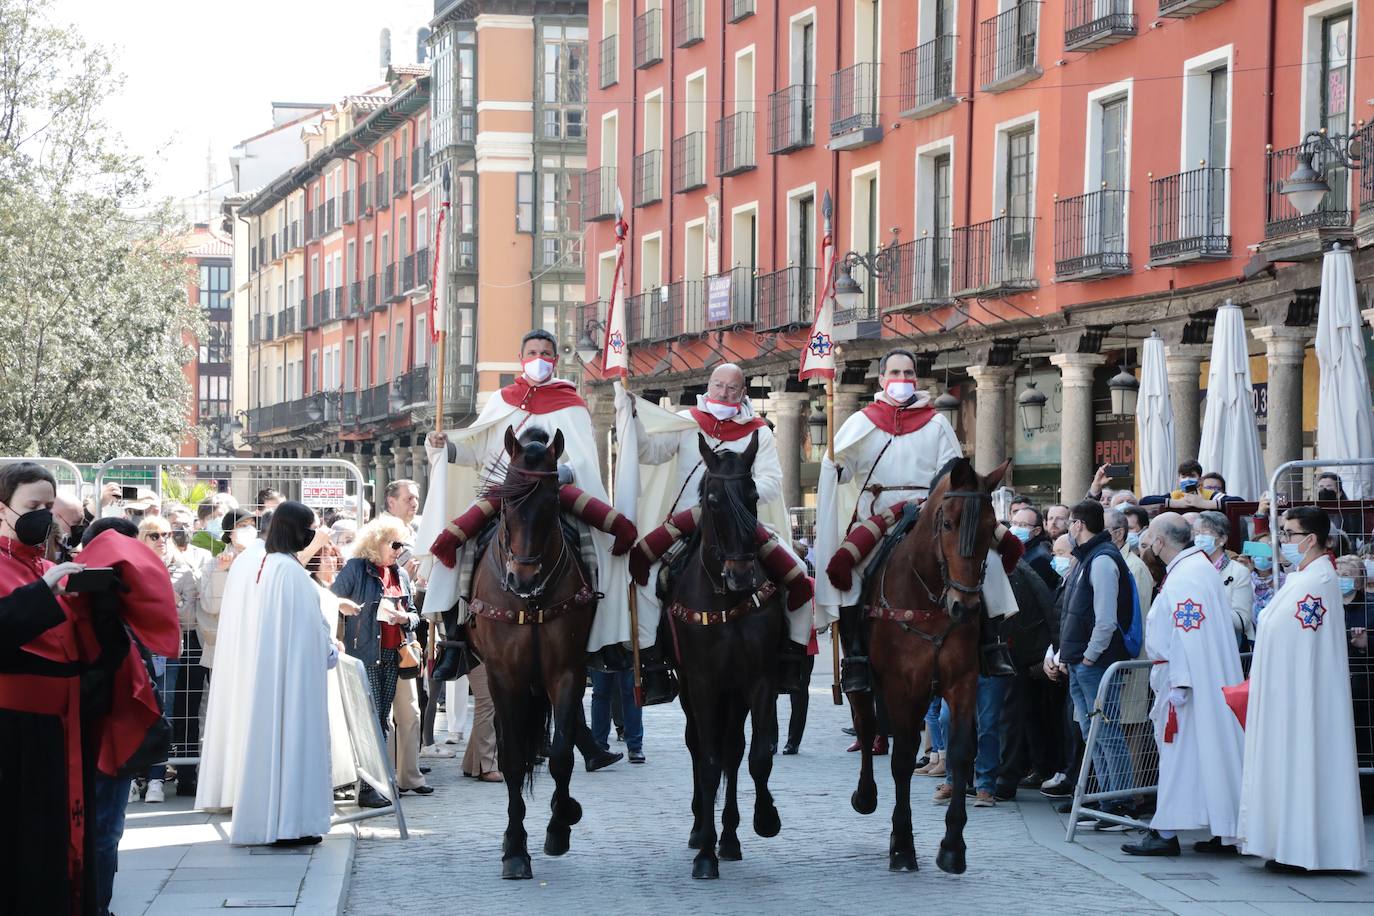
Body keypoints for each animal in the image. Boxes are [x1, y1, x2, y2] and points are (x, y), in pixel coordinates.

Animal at [469, 428, 593, 878]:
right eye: (507, 500)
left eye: (553, 500)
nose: (522, 577)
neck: (532, 602)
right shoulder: (504, 676)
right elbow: (512, 758)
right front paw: (515, 848)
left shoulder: (568, 672)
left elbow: (560, 755)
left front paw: (560, 823)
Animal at [662, 433, 785, 878]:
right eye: (712, 500)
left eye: (753, 495)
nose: (741, 575)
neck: (726, 601)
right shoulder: (702, 683)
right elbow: (709, 760)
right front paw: (704, 854)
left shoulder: (758, 681)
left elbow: (757, 756)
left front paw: (765, 819)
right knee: (700, 748)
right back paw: (702, 829)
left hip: (734, 695)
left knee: (733, 749)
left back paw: (728, 837)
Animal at [846, 455, 1011, 873]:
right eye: (948, 523)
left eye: (991, 527)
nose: (965, 607)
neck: (931, 597)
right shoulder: (900, 686)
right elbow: (902, 758)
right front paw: (903, 845)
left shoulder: (962, 682)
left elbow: (961, 753)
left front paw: (952, 847)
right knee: (865, 725)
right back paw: (865, 796)